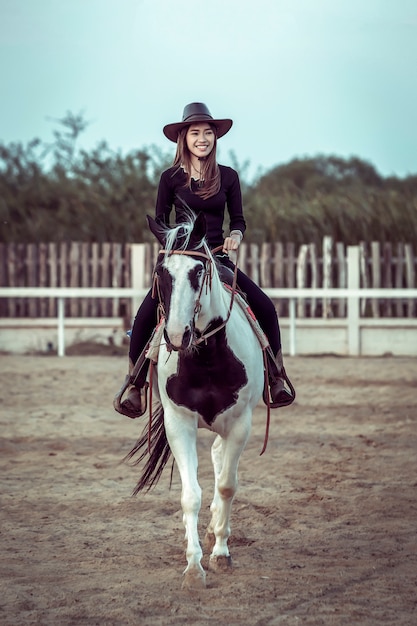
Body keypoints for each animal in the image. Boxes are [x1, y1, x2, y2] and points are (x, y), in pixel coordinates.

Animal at [125, 212, 264, 588]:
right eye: (162, 272)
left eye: (199, 271)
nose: (176, 335)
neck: (206, 359)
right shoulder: (179, 423)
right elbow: (191, 495)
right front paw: (193, 566)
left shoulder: (240, 424)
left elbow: (227, 486)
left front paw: (220, 555)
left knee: (220, 463)